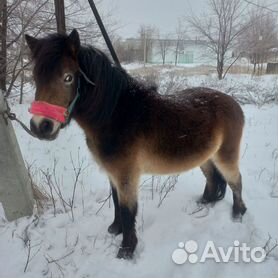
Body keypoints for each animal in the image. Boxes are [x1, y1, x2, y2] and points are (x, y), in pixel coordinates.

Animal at [25, 29, 247, 260]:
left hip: (226, 155)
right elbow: (116, 202)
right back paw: (206, 202)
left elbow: (127, 210)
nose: (41, 126)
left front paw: (126, 250)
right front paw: (115, 229)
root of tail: (234, 104)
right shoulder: (114, 174)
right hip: (206, 156)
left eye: (68, 77)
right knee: (213, 178)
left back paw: (238, 214)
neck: (116, 114)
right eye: (35, 77)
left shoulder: (126, 175)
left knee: (235, 181)